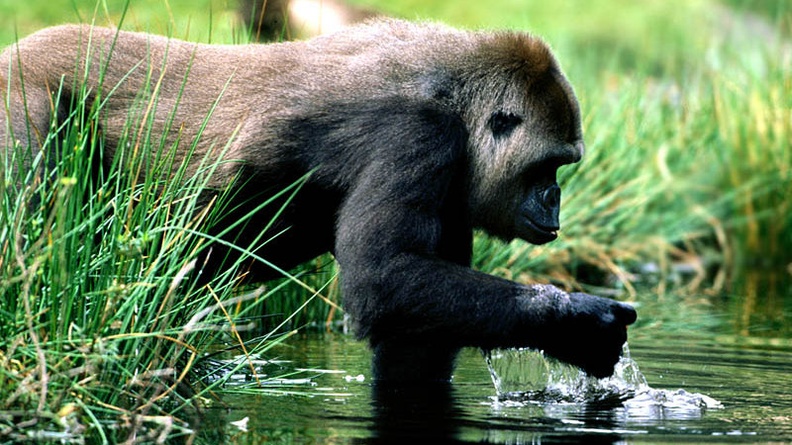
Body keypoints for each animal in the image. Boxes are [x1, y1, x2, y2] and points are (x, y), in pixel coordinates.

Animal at [0, 19, 637, 385]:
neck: (456, 92)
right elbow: (385, 278)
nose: (555, 203)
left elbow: (415, 321)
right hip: (21, 94)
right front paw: (572, 320)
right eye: (548, 168)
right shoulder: (418, 132)